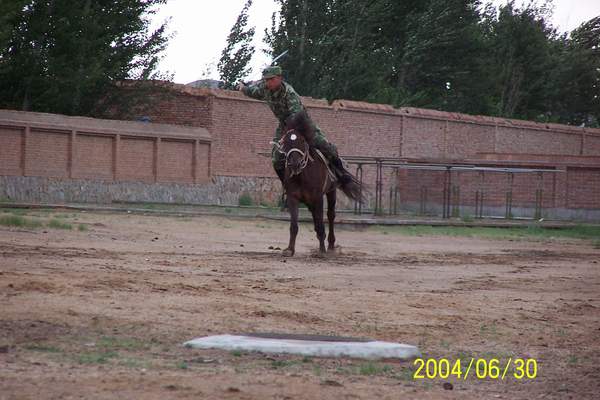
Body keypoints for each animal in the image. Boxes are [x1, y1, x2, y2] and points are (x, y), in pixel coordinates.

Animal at [274, 111, 364, 256]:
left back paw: (331, 245)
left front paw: (322, 250)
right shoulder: (293, 198)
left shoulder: (318, 197)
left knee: (330, 216)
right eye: (285, 142)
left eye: (302, 140)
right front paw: (290, 249)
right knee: (314, 215)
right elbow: (294, 226)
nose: (294, 164)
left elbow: (322, 222)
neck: (303, 176)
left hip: (331, 192)